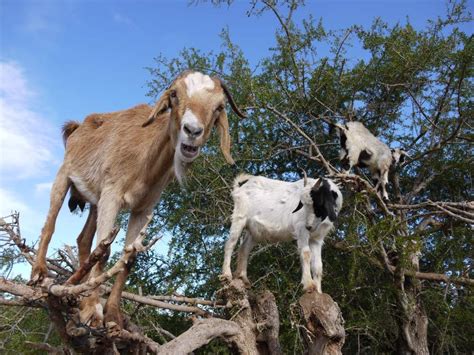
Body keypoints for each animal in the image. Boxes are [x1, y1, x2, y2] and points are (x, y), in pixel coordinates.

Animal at [29, 71, 246, 330]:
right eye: (174, 95)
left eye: (219, 106)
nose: (192, 131)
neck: (145, 161)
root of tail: (77, 127)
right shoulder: (112, 195)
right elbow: (104, 251)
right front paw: (93, 312)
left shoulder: (143, 208)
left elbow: (129, 258)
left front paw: (112, 315)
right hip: (64, 175)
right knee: (50, 223)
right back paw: (39, 272)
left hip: (95, 200)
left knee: (84, 239)